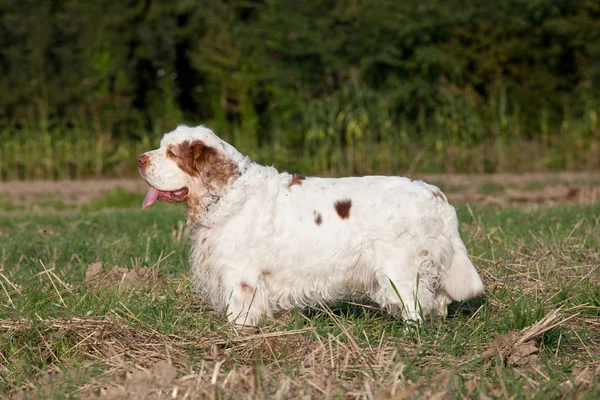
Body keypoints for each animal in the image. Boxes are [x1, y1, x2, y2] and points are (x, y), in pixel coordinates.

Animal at [138, 126, 486, 326]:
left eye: (172, 153)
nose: (140, 159)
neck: (228, 192)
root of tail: (435, 194)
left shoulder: (241, 277)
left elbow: (239, 314)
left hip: (399, 270)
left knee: (416, 304)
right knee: (438, 301)